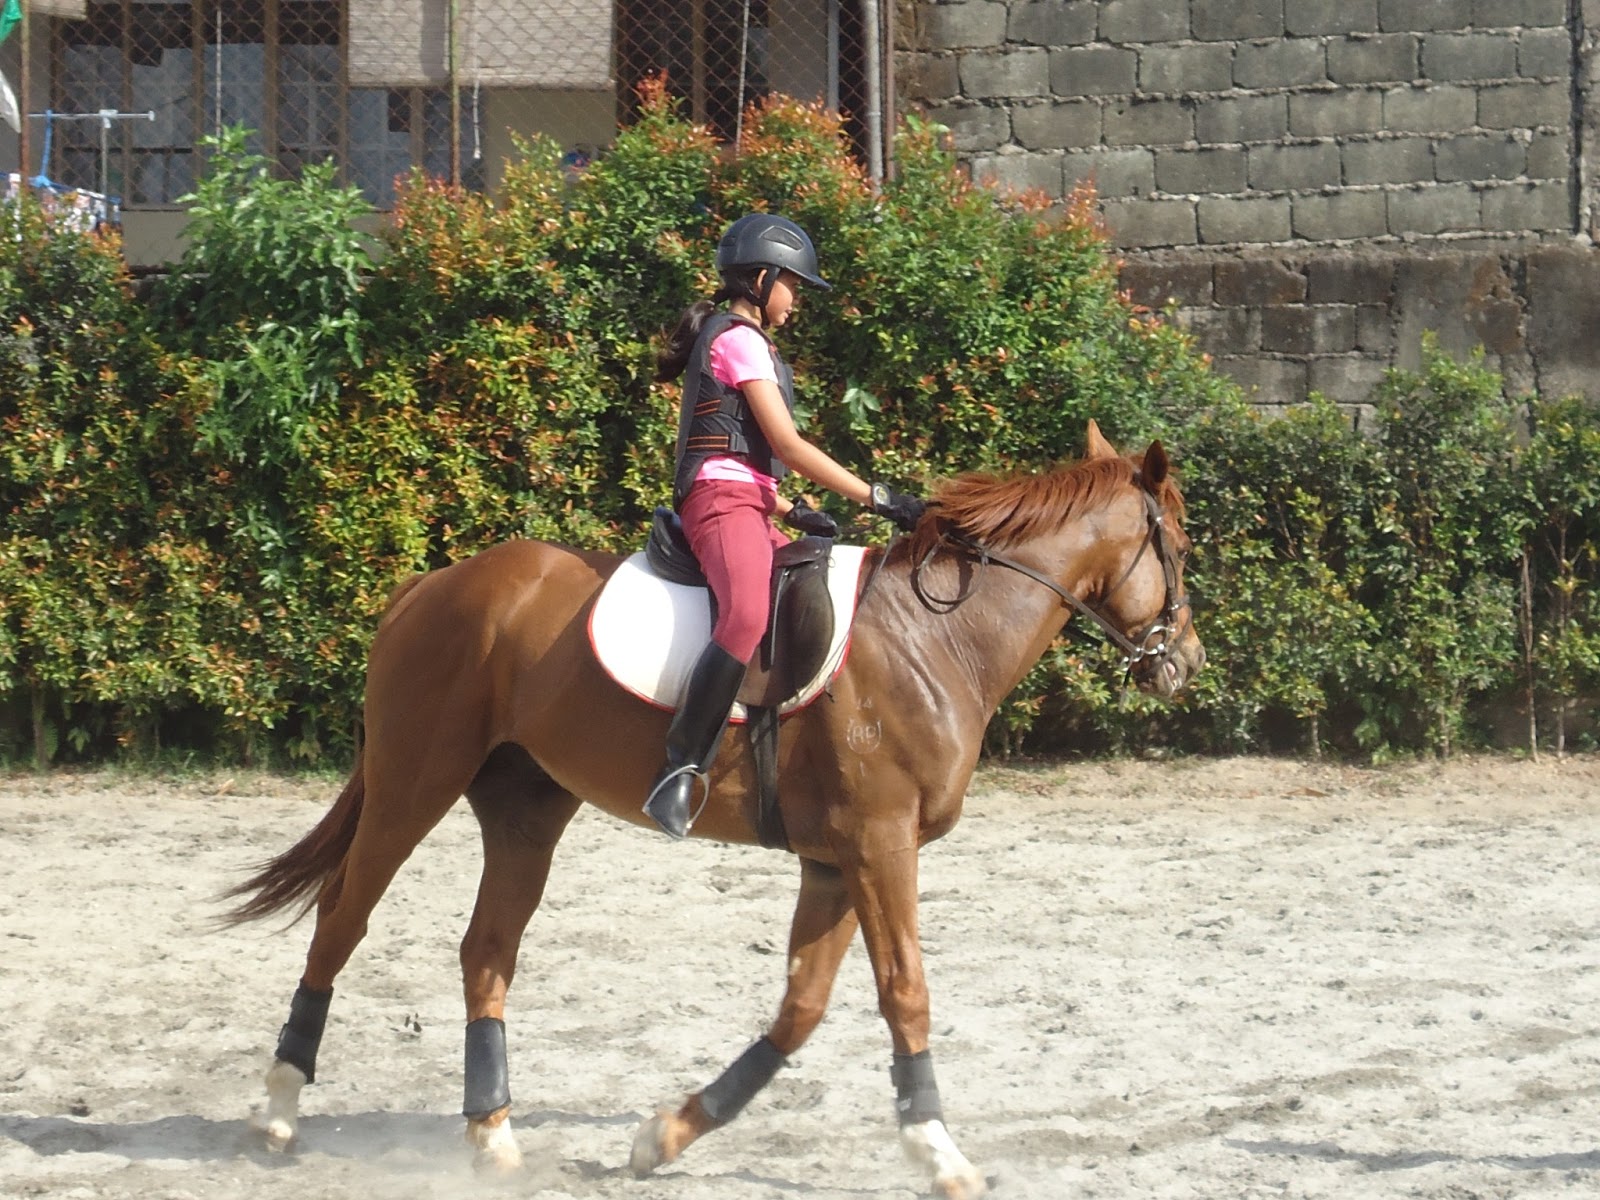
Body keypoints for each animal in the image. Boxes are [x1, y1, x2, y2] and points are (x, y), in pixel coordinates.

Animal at [223, 421, 1205, 1200]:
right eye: (1182, 545)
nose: (1185, 663)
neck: (938, 636)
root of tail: (433, 584)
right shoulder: (881, 845)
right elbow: (905, 993)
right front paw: (940, 1153)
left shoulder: (835, 858)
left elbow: (802, 1008)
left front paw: (665, 1135)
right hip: (412, 785)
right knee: (342, 919)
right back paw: (278, 1110)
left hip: (526, 809)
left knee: (486, 950)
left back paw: (491, 1135)